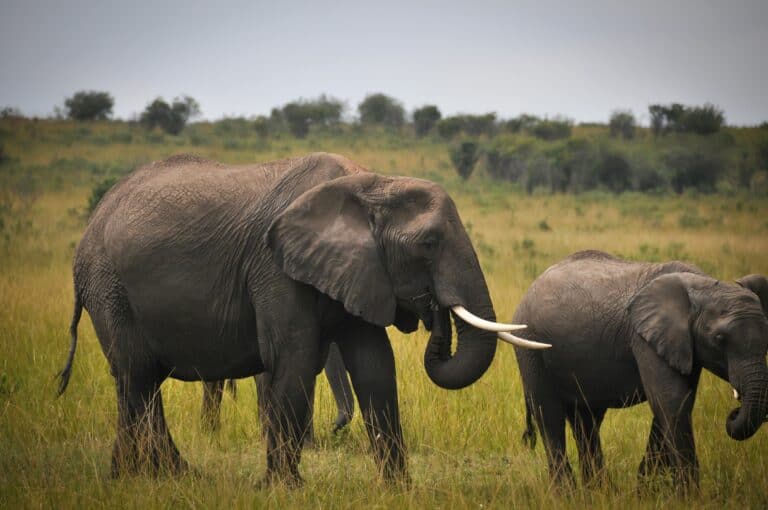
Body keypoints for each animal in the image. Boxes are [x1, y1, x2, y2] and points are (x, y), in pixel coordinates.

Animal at [512, 250, 768, 489]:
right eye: (719, 339)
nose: (734, 412)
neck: (704, 285)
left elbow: (676, 402)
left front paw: (647, 491)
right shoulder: (645, 337)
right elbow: (670, 401)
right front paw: (688, 497)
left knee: (586, 421)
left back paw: (598, 492)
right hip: (530, 346)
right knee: (549, 415)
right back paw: (568, 494)